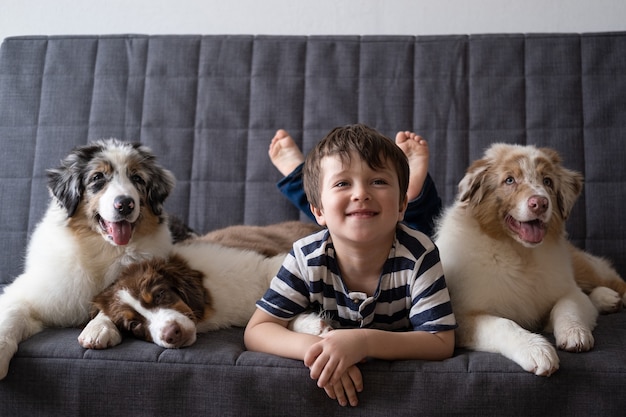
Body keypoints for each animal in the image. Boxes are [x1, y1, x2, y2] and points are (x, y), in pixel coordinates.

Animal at [436, 144, 620, 376]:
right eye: (509, 180)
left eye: (548, 181)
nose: (540, 203)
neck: (521, 254)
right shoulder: (462, 316)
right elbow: (503, 324)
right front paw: (537, 350)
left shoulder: (568, 289)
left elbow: (568, 305)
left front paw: (575, 334)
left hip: (585, 267)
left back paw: (608, 297)